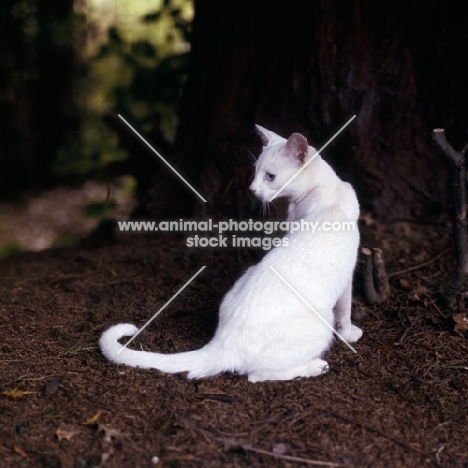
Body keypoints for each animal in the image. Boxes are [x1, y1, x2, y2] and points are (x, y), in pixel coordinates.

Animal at [98, 125, 362, 384]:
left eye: (269, 176)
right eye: (255, 172)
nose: (252, 189)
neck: (324, 190)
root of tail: (223, 343)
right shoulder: (348, 276)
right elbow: (346, 309)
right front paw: (349, 334)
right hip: (321, 324)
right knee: (257, 375)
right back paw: (316, 366)